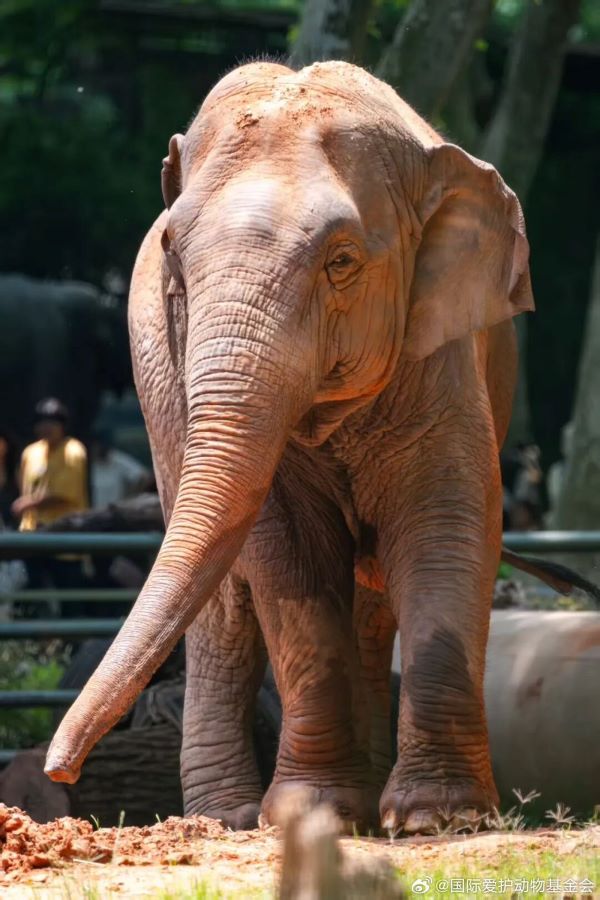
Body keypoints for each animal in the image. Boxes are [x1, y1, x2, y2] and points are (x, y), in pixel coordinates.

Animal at [45, 60, 535, 835]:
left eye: (341, 261)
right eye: (175, 260)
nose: (55, 771)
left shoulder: (443, 356)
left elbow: (444, 527)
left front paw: (436, 817)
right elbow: (292, 558)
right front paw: (315, 812)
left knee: (369, 599)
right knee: (225, 603)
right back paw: (227, 818)